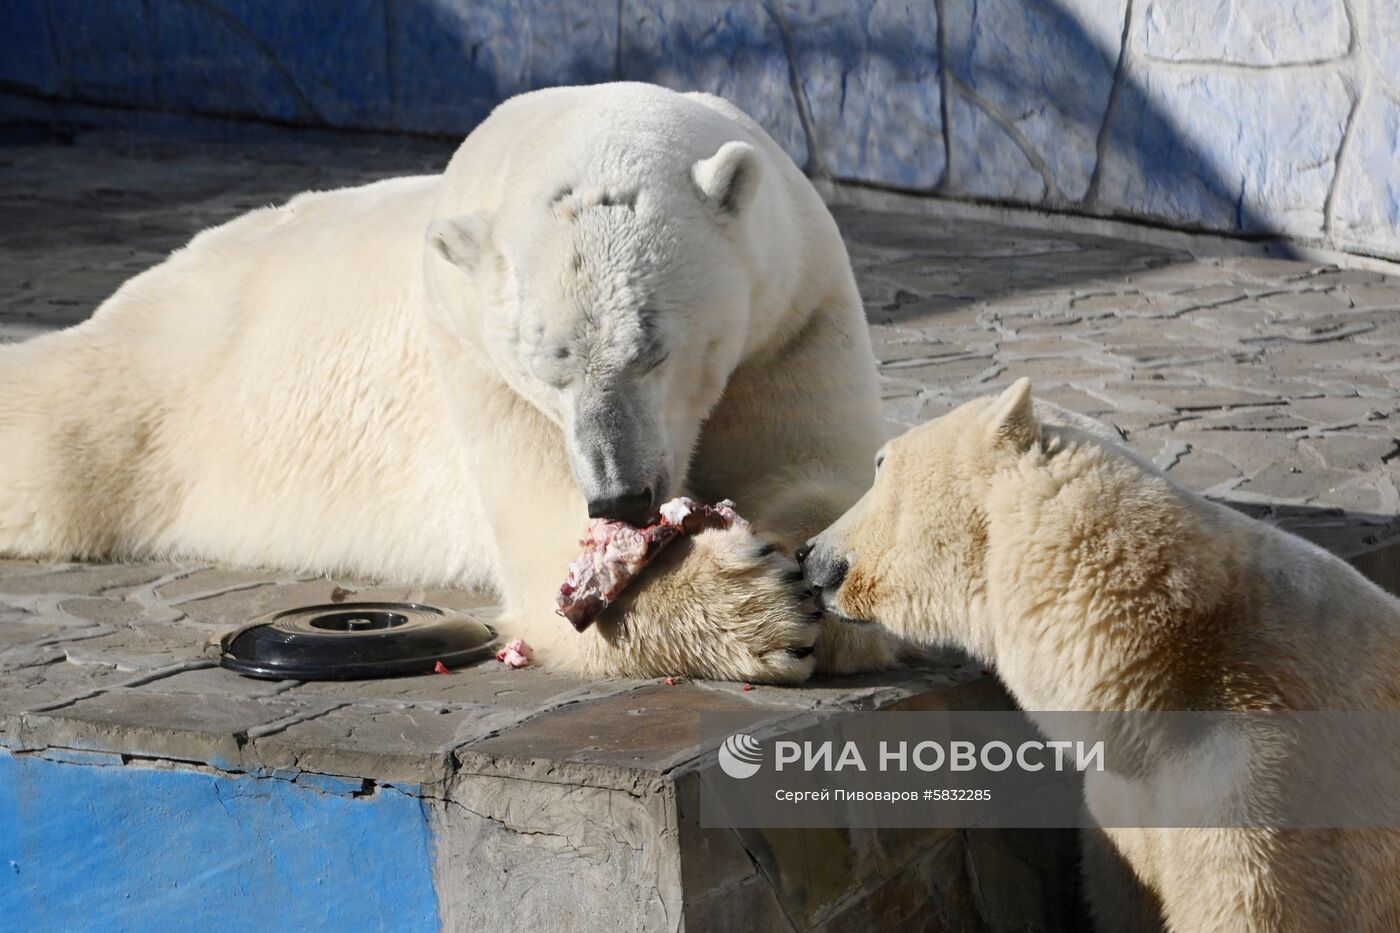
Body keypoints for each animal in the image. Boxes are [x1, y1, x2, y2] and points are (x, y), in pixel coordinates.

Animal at [0, 83, 896, 680]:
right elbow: (543, 543)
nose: (621, 494)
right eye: (548, 365)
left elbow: (822, 468)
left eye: (655, 349)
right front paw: (756, 607)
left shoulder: (798, 305)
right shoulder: (474, 360)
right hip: (160, 384)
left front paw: (831, 582)